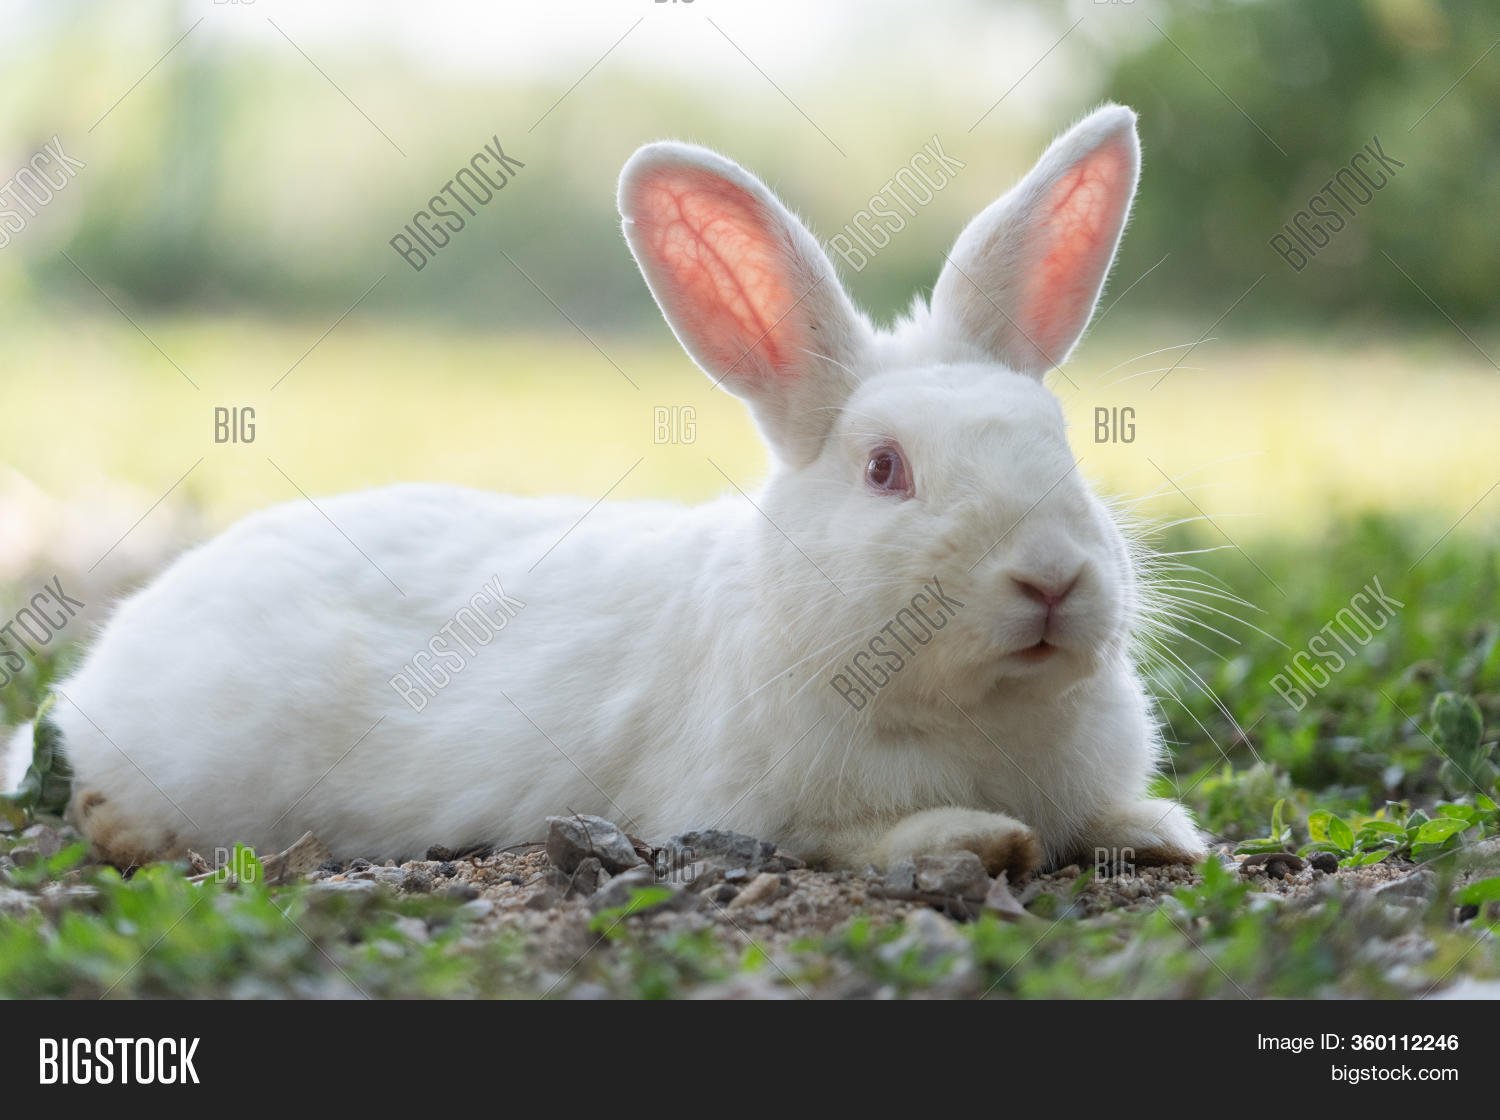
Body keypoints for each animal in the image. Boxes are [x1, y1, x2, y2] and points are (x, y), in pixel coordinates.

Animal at [5, 103, 1205, 874]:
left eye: (1063, 446)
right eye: (884, 469)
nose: (1049, 579)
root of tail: (110, 659)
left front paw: (1160, 830)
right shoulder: (741, 806)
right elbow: (854, 840)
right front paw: (977, 840)